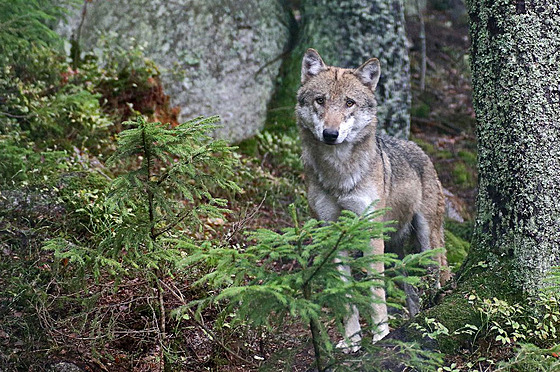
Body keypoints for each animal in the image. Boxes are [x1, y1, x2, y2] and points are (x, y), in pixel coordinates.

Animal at [296, 48, 448, 350]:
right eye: (320, 100)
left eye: (349, 102)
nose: (330, 134)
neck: (339, 174)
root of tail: (422, 152)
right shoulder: (334, 233)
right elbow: (346, 296)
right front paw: (351, 341)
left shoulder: (370, 233)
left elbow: (376, 292)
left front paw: (380, 336)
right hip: (398, 258)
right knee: (413, 294)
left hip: (426, 243)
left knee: (435, 280)